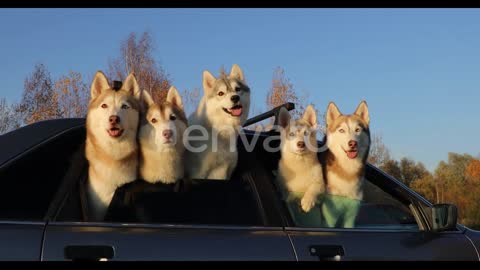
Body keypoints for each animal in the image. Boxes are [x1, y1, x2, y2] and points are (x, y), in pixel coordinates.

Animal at [320, 99, 374, 228]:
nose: (352, 143)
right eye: (341, 130)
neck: (348, 170)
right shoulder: (329, 218)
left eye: (357, 130)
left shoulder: (351, 217)